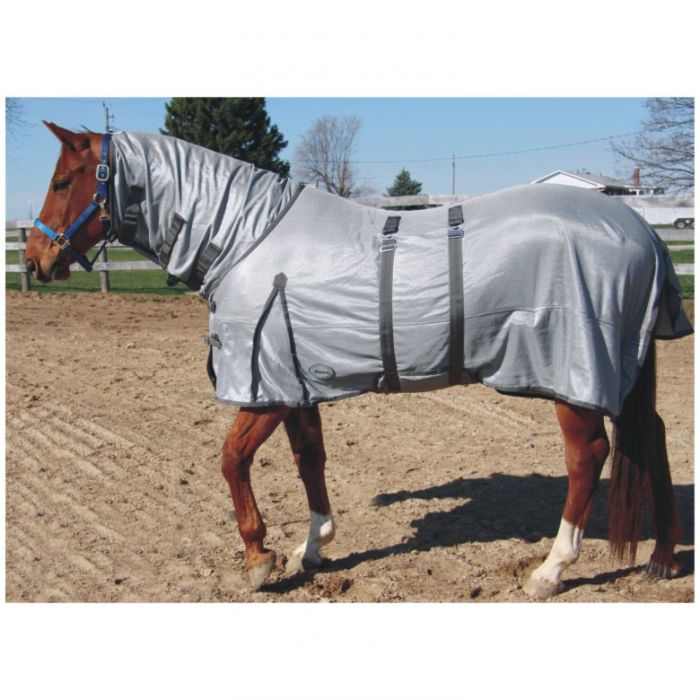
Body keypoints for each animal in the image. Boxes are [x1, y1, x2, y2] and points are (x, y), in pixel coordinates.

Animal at [24, 121, 692, 599]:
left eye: (61, 182)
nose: (34, 258)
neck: (248, 237)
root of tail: (641, 230)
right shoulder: (294, 382)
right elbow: (309, 460)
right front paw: (313, 546)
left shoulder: (264, 389)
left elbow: (232, 460)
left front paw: (259, 557)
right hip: (623, 371)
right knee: (652, 438)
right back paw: (661, 559)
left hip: (574, 376)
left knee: (589, 457)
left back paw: (552, 570)